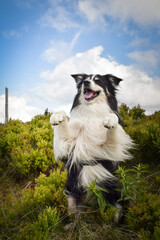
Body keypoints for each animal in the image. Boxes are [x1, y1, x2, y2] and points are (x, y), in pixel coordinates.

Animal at [50, 73, 132, 221]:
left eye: (98, 81)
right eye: (84, 80)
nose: (86, 83)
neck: (91, 111)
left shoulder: (110, 148)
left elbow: (112, 125)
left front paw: (110, 119)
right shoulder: (67, 148)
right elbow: (63, 123)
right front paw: (57, 116)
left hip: (116, 196)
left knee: (117, 213)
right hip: (72, 198)